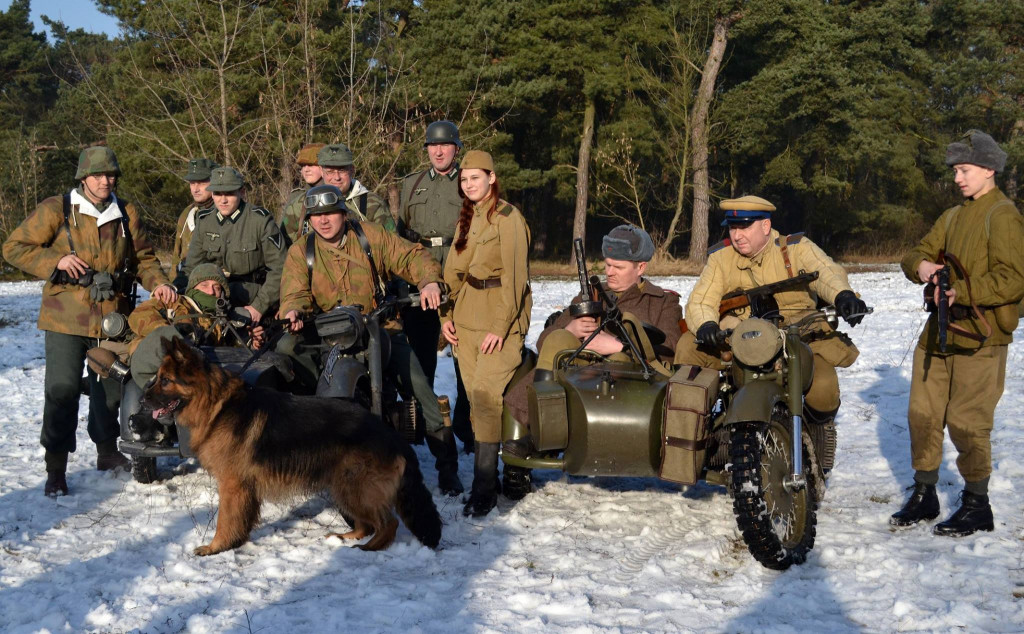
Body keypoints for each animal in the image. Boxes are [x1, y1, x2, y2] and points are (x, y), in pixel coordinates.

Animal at [141, 337, 440, 557]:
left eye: (165, 380)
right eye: (158, 377)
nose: (142, 401)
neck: (217, 404)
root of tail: (392, 435)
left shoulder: (232, 485)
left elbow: (225, 519)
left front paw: (216, 547)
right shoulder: (244, 489)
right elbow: (242, 519)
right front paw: (235, 542)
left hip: (355, 488)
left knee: (388, 523)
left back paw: (369, 548)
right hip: (343, 486)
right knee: (367, 523)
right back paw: (345, 536)